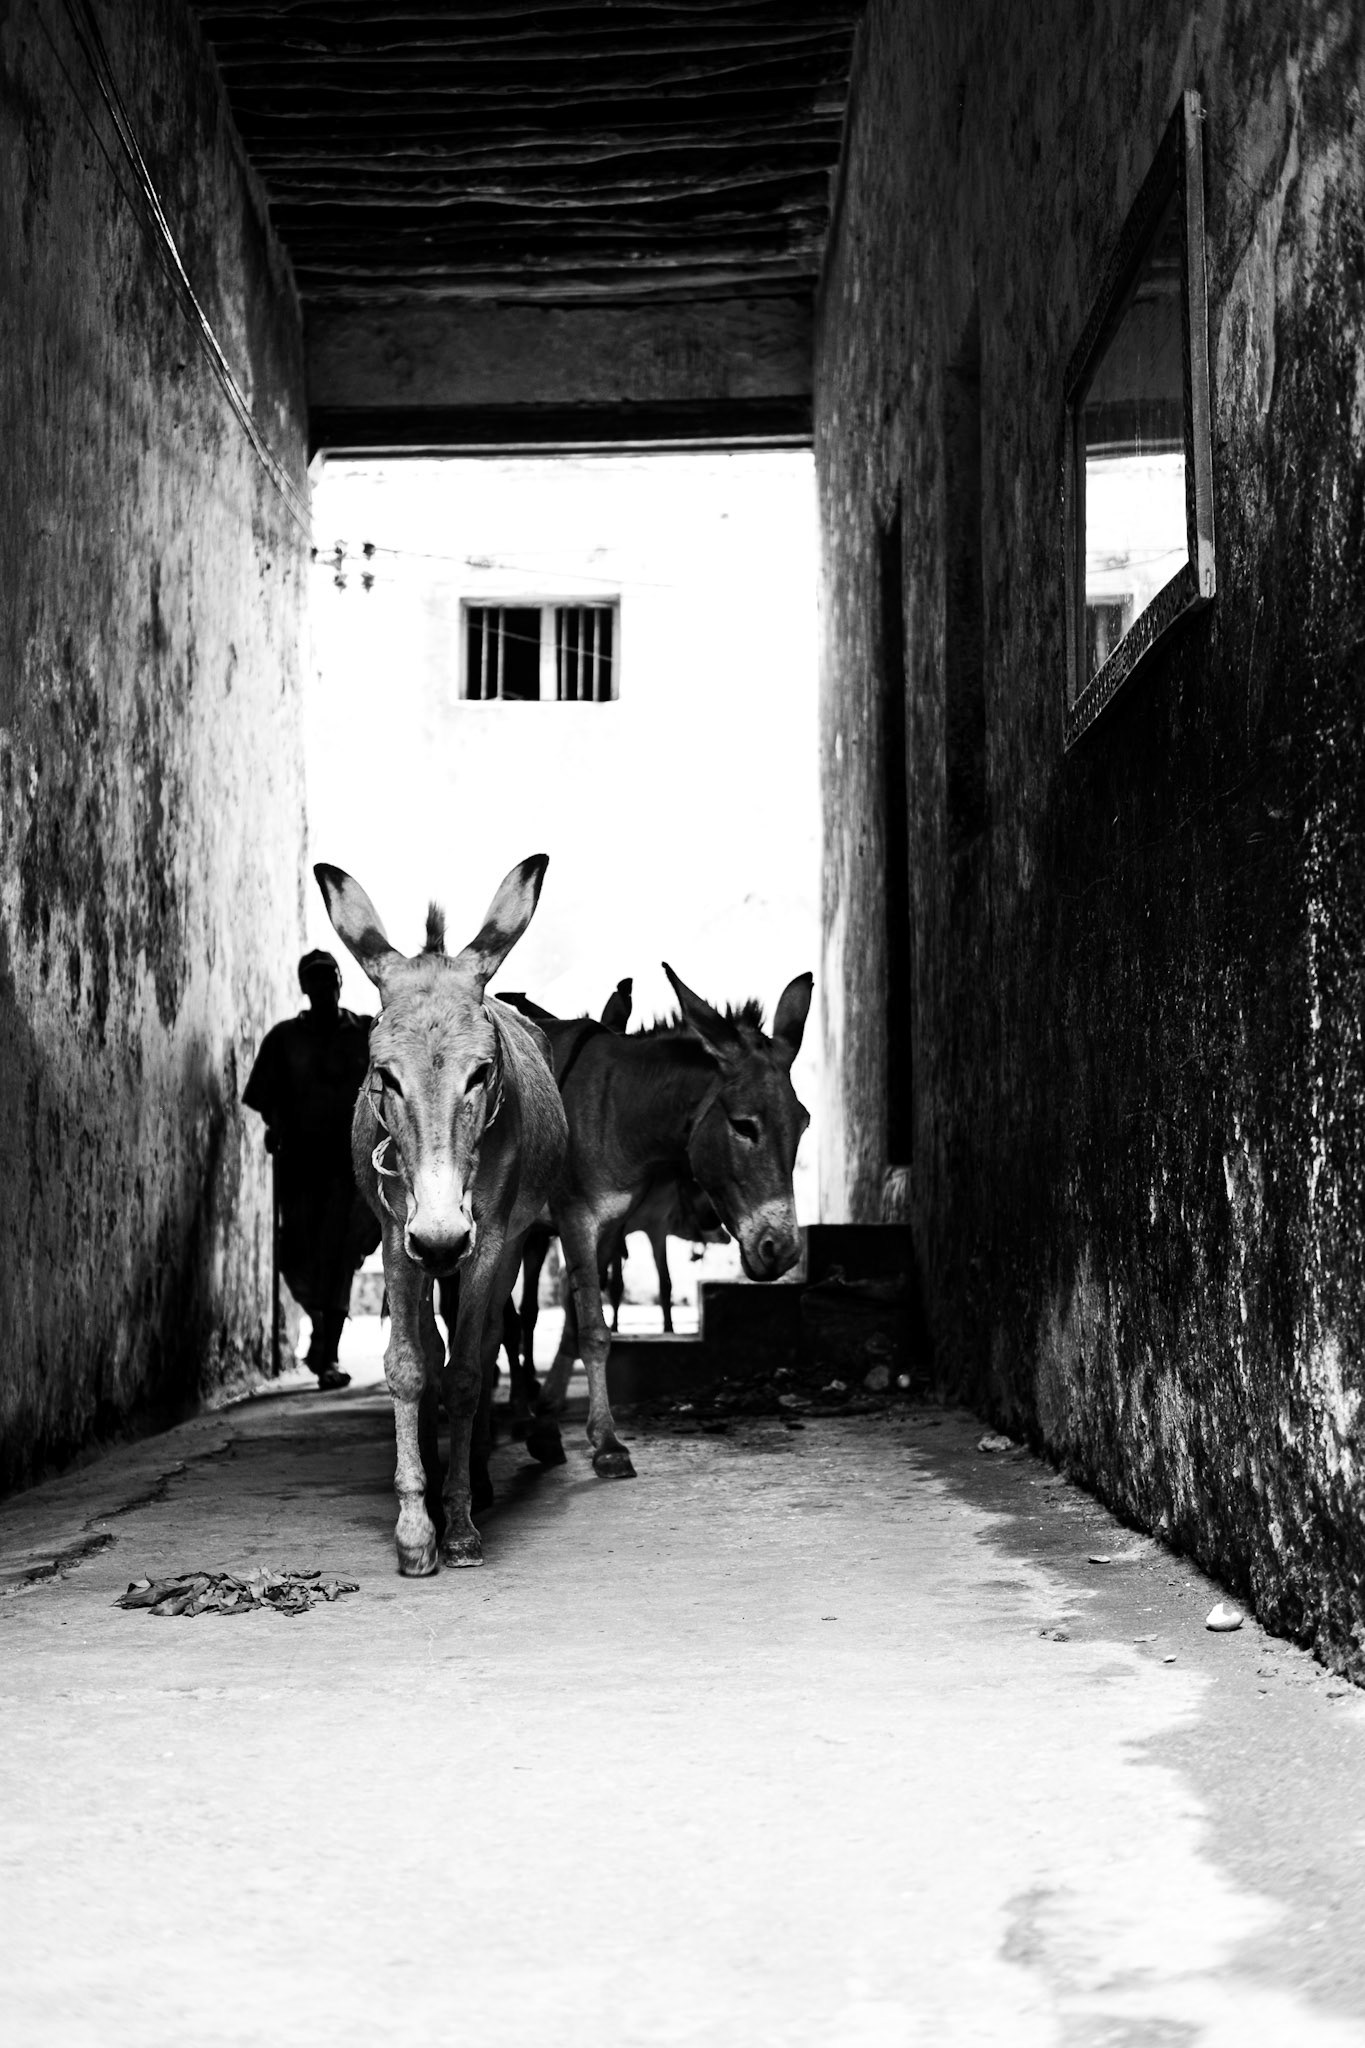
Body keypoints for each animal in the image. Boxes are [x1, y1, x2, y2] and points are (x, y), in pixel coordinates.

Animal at [314, 855, 567, 1577]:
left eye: (481, 1073)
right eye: (383, 1075)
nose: (441, 1237)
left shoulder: (488, 1241)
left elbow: (467, 1373)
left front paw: (456, 1527)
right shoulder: (397, 1238)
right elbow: (409, 1366)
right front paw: (413, 1527)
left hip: (503, 1245)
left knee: (484, 1342)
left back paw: (477, 1476)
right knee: (434, 1340)